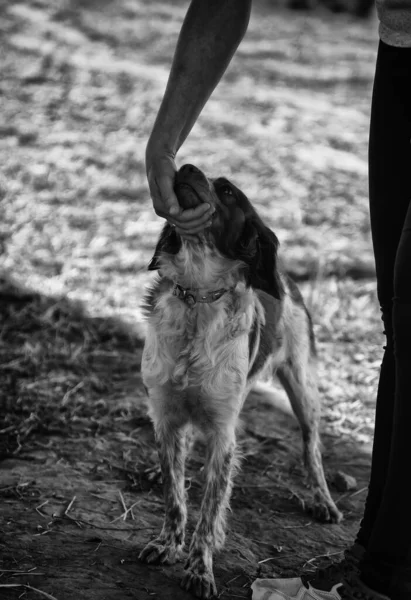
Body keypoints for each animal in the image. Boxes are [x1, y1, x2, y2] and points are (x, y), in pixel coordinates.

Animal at [140, 164, 342, 600]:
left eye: (229, 191)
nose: (185, 166)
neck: (197, 295)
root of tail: (286, 277)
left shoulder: (222, 433)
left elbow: (209, 508)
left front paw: (200, 569)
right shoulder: (166, 417)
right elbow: (174, 495)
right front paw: (168, 544)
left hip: (303, 388)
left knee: (312, 449)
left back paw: (323, 500)